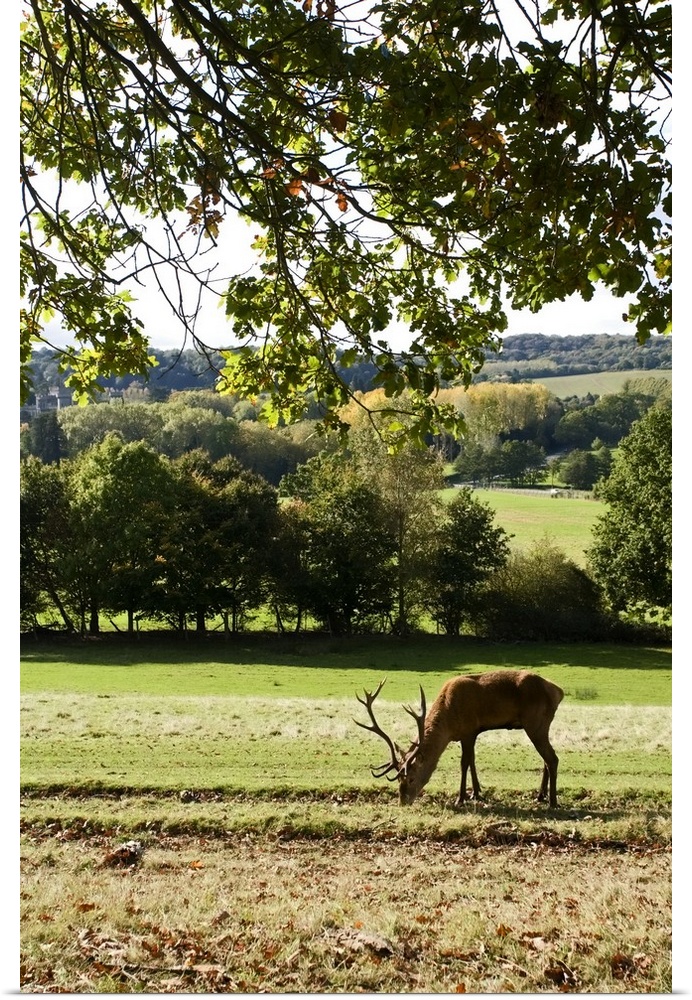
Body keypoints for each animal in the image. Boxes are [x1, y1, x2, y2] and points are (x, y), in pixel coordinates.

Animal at [356, 668, 564, 808]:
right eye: (398, 779)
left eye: (412, 778)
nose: (403, 802)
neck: (449, 722)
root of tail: (558, 691)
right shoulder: (472, 733)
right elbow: (472, 760)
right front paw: (477, 793)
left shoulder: (469, 730)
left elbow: (464, 763)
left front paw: (461, 798)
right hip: (541, 726)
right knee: (546, 759)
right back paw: (540, 795)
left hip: (535, 722)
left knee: (552, 758)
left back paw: (552, 802)